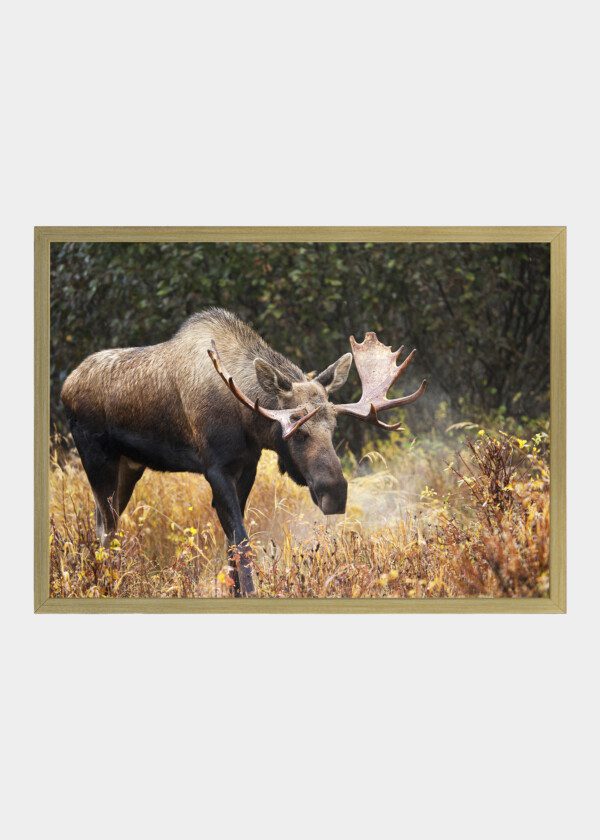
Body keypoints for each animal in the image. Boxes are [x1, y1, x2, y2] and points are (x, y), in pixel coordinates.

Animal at [61, 308, 427, 595]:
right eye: (297, 429)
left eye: (334, 427)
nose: (335, 493)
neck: (247, 419)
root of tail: (66, 385)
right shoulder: (215, 468)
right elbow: (242, 539)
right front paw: (250, 592)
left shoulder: (247, 465)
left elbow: (231, 544)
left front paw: (236, 591)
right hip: (96, 457)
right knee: (106, 527)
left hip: (130, 466)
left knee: (105, 522)